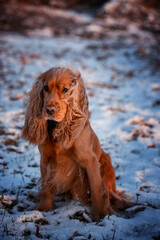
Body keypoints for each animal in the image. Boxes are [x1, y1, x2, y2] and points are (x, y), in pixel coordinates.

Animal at [22, 66, 128, 220]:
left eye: (66, 90)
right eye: (46, 88)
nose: (49, 109)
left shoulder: (89, 160)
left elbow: (97, 189)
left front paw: (100, 215)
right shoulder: (45, 158)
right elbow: (46, 186)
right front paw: (43, 208)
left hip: (106, 160)